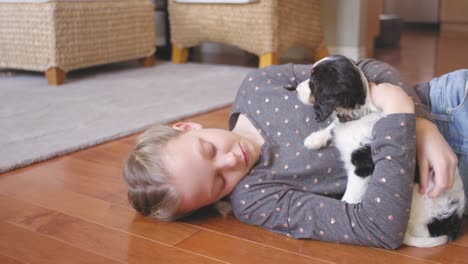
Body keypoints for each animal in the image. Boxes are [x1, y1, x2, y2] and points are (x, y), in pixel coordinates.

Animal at [292, 54, 464, 248]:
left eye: (314, 80)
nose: (296, 89)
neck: (357, 115)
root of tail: (452, 223)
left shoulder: (362, 167)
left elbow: (351, 195)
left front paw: (345, 209)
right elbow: (334, 125)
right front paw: (315, 139)